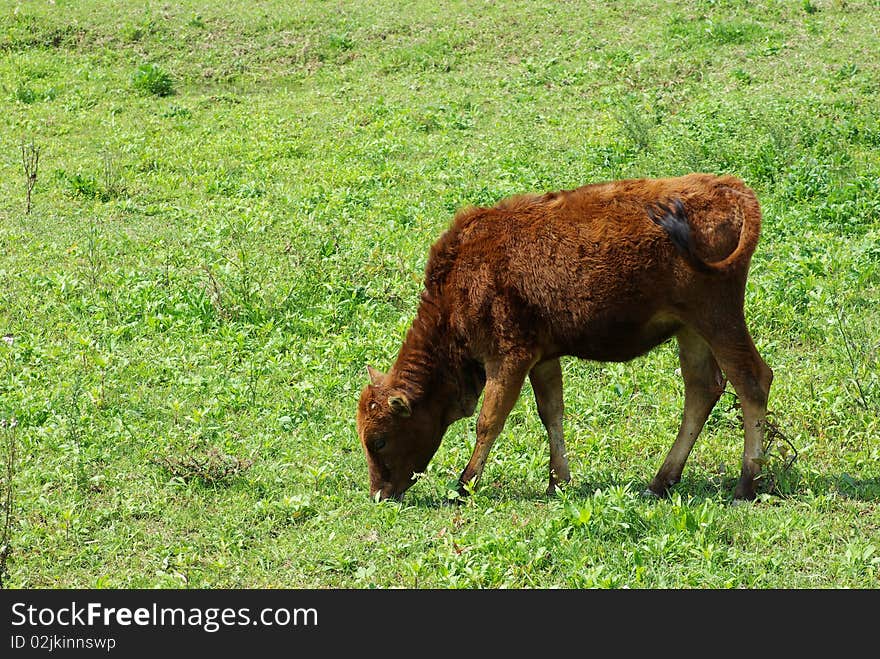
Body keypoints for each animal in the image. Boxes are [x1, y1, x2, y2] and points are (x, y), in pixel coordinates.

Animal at [356, 173, 768, 502]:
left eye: (379, 440)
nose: (379, 494)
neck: (460, 277)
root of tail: (728, 189)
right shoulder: (542, 357)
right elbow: (551, 412)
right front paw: (558, 481)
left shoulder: (509, 358)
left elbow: (489, 420)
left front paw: (465, 484)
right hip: (690, 331)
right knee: (702, 390)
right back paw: (661, 481)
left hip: (717, 319)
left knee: (752, 381)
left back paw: (746, 484)